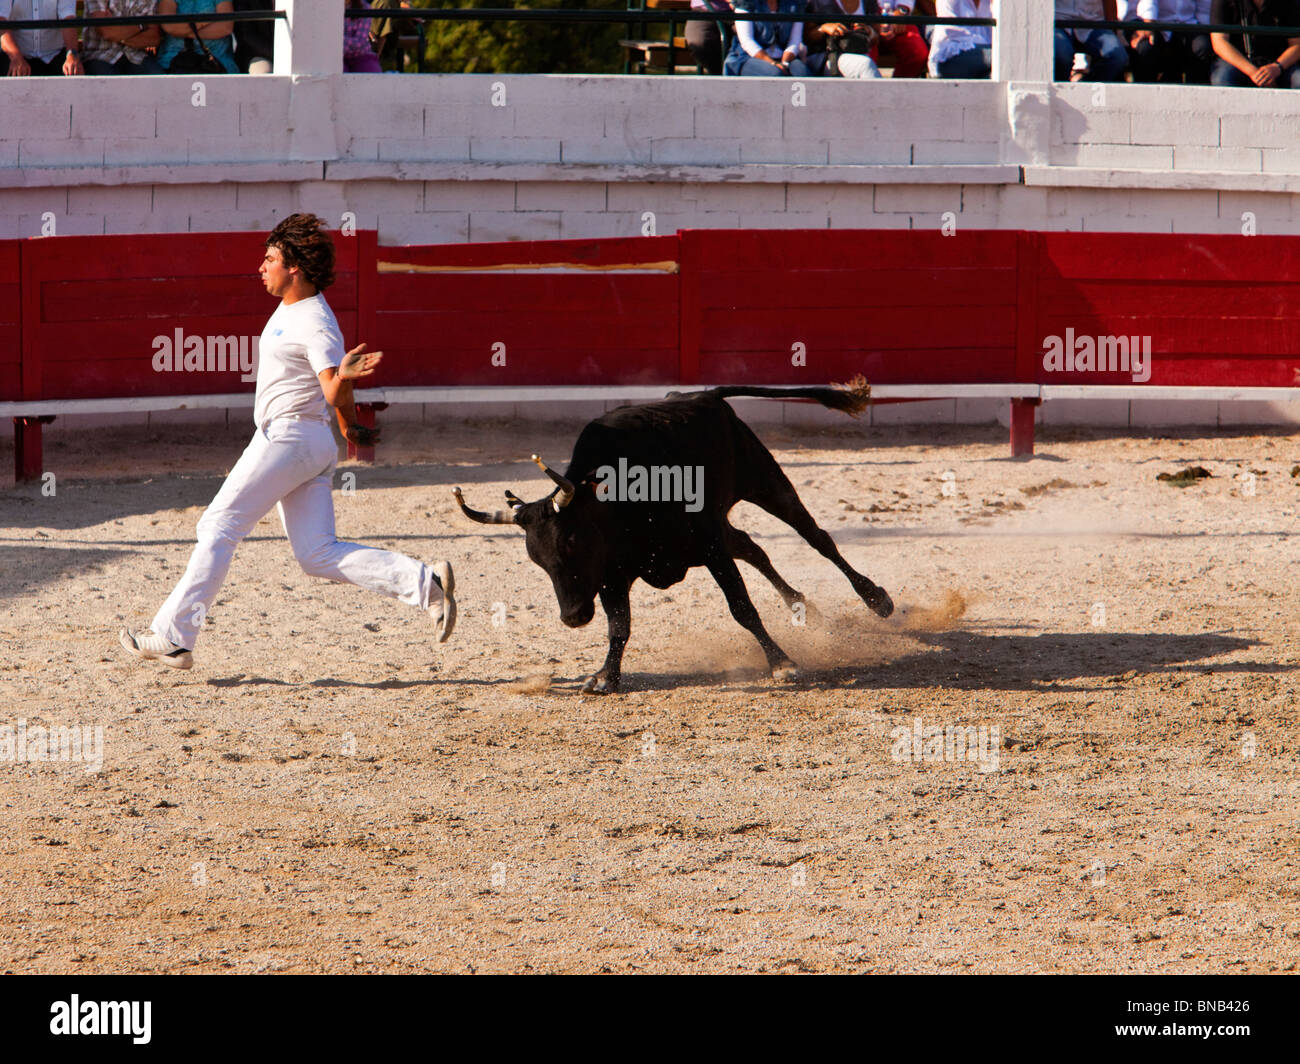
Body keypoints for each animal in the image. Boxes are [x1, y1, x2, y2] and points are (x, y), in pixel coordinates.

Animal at [454, 385, 894, 691]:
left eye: (573, 542)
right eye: (536, 560)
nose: (573, 616)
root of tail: (704, 395)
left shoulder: (711, 548)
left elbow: (742, 608)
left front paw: (782, 664)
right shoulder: (612, 576)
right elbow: (619, 625)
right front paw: (605, 676)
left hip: (765, 481)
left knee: (816, 537)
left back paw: (876, 599)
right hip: (725, 519)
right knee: (752, 546)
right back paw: (802, 605)